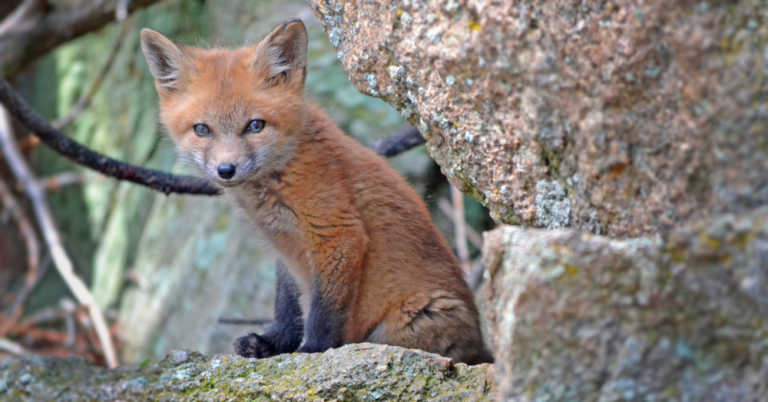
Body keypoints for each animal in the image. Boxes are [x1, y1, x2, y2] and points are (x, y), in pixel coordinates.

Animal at [139, 19, 493, 364]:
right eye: (202, 130)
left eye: (255, 125)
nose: (226, 169)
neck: (280, 177)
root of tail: (482, 345)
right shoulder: (285, 248)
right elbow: (288, 306)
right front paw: (273, 343)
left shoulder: (337, 233)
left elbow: (323, 312)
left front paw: (312, 351)